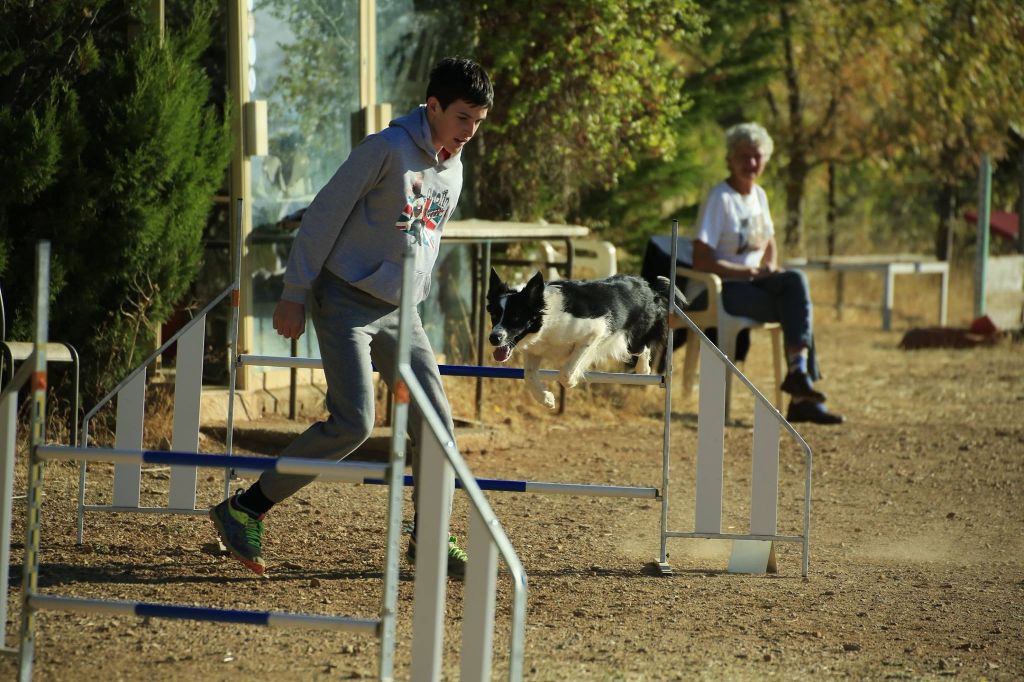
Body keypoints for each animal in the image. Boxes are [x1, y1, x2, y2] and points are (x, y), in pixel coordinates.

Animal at [487, 266, 688, 405]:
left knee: (644, 347)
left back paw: (643, 369)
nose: (493, 338)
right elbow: (528, 376)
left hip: (633, 340)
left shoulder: (593, 333)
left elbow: (566, 373)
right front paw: (546, 399)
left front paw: (572, 381)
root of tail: (648, 285)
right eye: (495, 315)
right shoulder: (535, 350)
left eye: (515, 317)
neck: (546, 321)